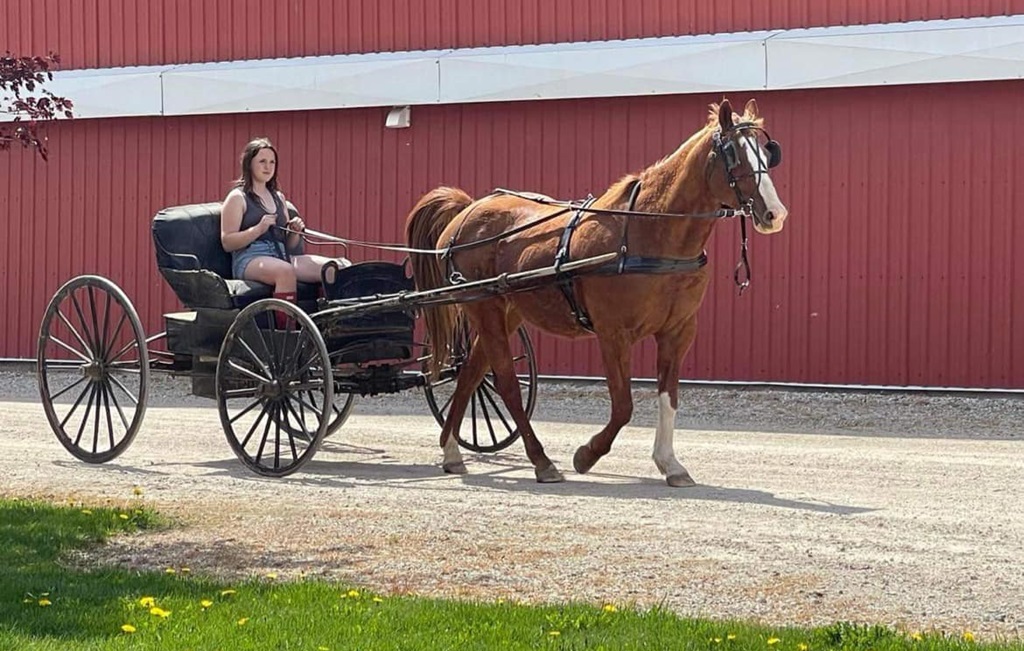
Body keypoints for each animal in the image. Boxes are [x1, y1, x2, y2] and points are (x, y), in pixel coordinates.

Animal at [405, 98, 788, 486]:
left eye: (767, 153)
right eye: (733, 153)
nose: (775, 213)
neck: (650, 231)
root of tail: (468, 209)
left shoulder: (677, 332)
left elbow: (669, 398)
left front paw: (670, 463)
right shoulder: (613, 333)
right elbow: (623, 406)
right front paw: (587, 454)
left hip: (505, 313)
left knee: (470, 373)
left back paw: (452, 451)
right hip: (486, 309)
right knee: (506, 384)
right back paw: (541, 460)